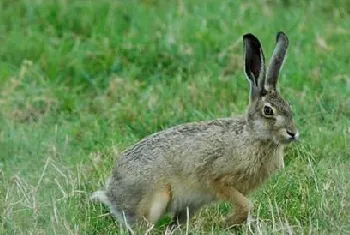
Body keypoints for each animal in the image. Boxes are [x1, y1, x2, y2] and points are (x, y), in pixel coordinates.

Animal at [91, 31, 298, 229]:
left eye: (289, 105)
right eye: (268, 111)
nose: (293, 133)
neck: (253, 136)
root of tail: (111, 194)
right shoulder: (218, 180)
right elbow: (245, 204)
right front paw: (226, 222)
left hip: (189, 207)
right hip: (157, 199)